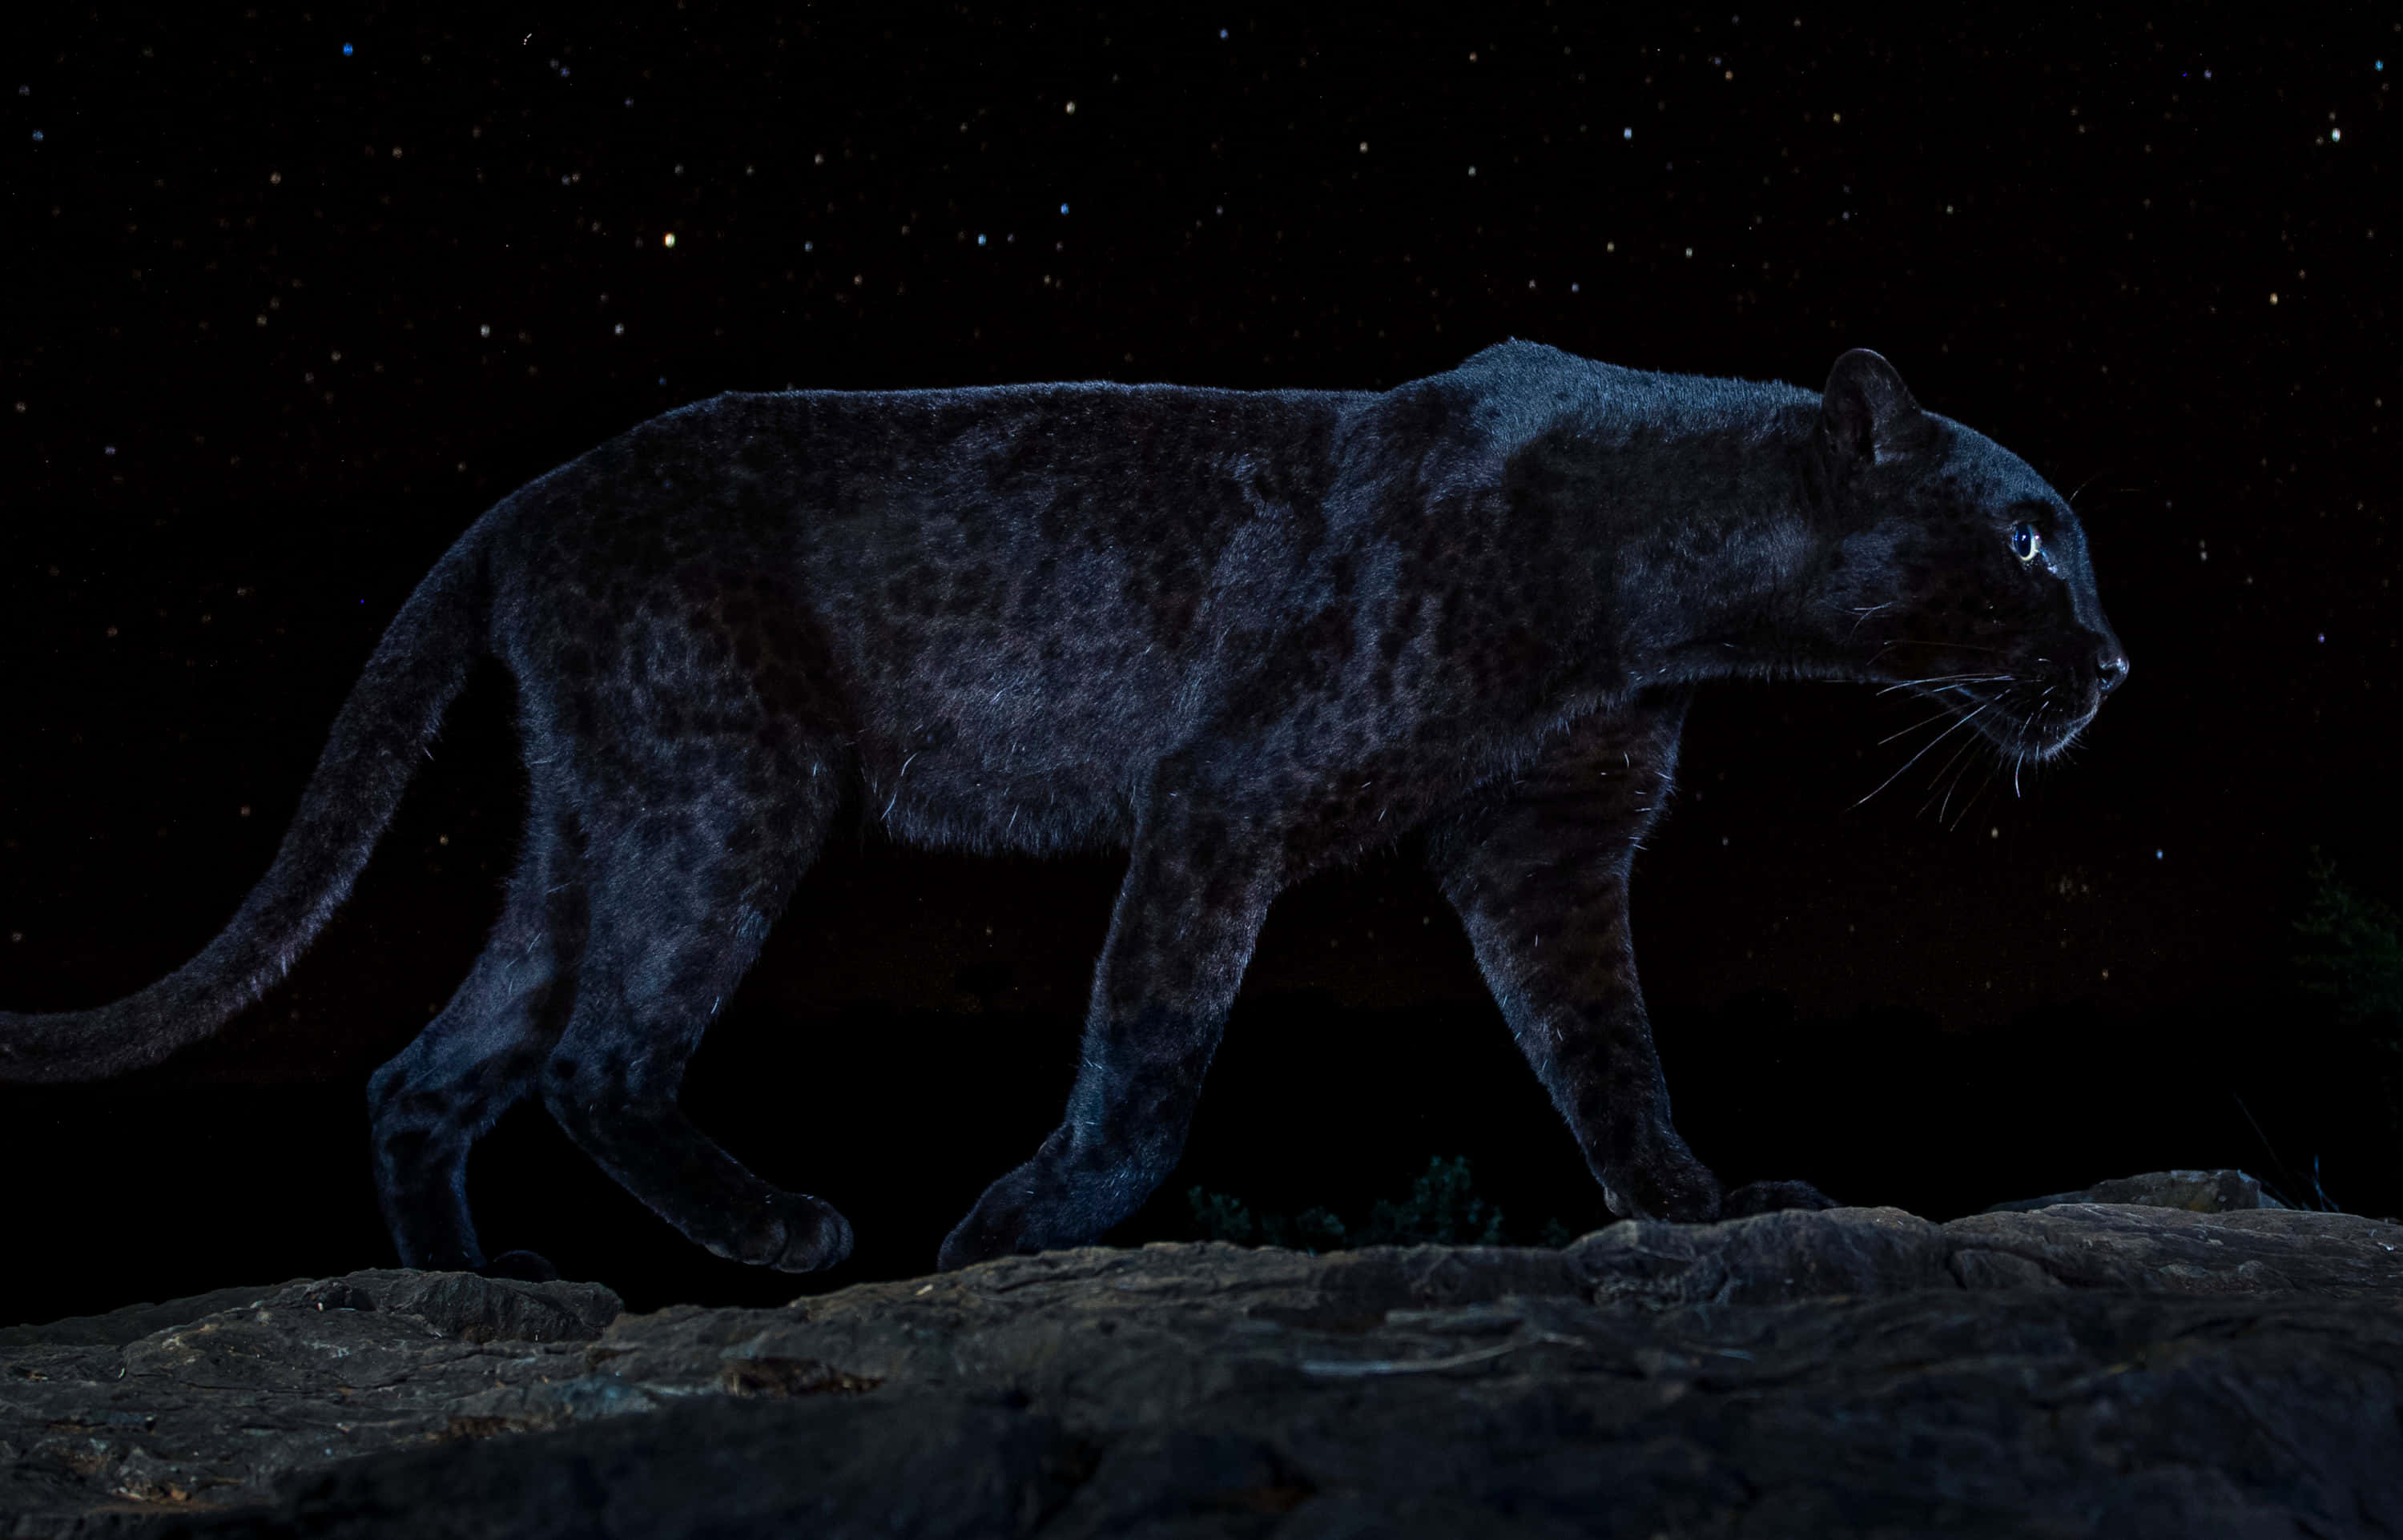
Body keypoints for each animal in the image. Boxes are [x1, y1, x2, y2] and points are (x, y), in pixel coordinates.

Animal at [0, 341, 2127, 1279]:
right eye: (2030, 537)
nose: (2115, 664)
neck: (1668, 578)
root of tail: (524, 502)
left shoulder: (1543, 843)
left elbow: (1605, 1049)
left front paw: (1694, 1203)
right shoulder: (1225, 790)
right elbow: (1152, 1052)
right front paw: (1019, 1223)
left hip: (592, 812)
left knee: (432, 1066)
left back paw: (480, 1289)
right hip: (731, 777)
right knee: (602, 1052)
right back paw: (779, 1229)